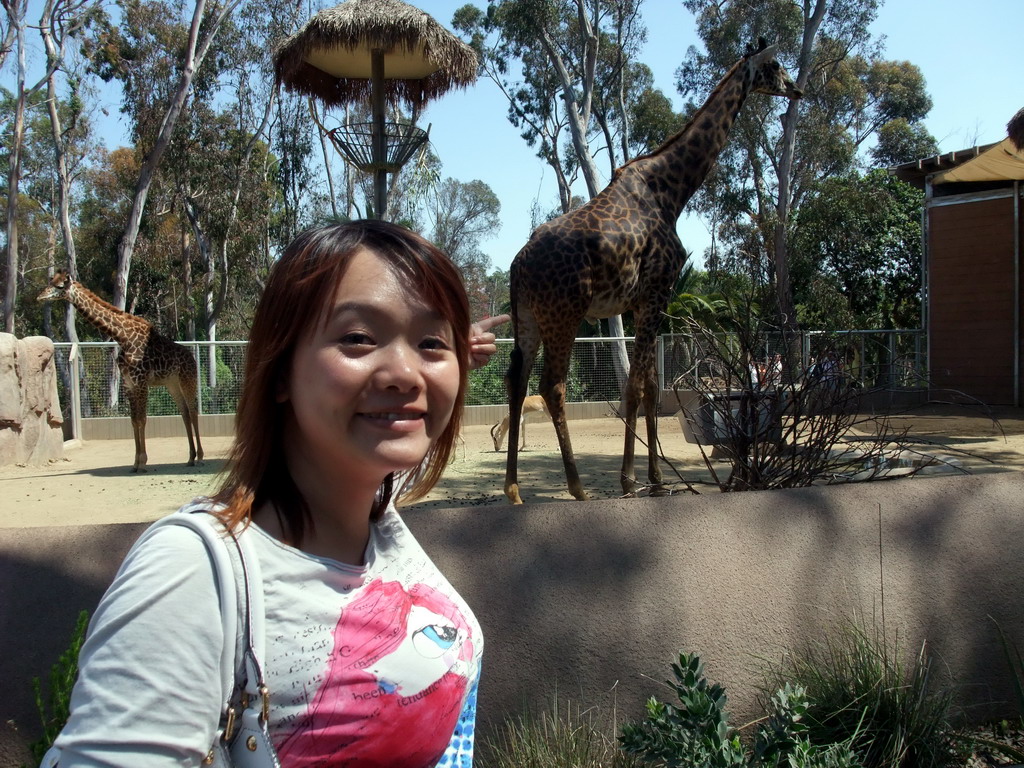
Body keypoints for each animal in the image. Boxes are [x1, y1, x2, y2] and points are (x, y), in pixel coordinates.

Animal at [38, 270, 201, 475]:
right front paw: (135, 463)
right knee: (185, 412)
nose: (39, 296)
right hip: (172, 383)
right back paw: (190, 457)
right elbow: (134, 421)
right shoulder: (128, 384)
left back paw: (200, 456)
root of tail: (192, 358)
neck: (122, 337)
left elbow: (142, 419)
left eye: (60, 286)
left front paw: (143, 462)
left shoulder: (140, 382)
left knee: (193, 411)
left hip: (188, 379)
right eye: (51, 281)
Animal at [503, 40, 798, 505]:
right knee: (553, 385)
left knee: (516, 381)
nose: (797, 89)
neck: (673, 190)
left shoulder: (642, 302)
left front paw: (652, 478)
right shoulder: (658, 291)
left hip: (527, 318)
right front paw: (633, 479)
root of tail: (519, 265)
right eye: (776, 64)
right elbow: (638, 387)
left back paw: (513, 489)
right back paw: (578, 488)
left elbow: (649, 387)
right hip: (564, 315)